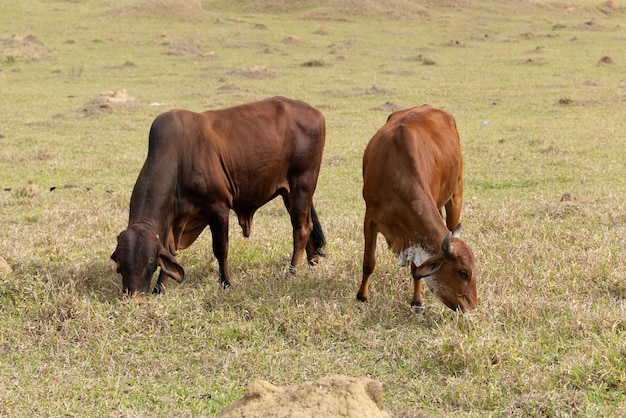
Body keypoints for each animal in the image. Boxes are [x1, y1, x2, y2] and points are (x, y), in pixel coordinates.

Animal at [111, 96, 324, 296]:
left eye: (149, 261)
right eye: (120, 265)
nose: (133, 296)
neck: (178, 159)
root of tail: (315, 112)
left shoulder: (218, 207)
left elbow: (221, 248)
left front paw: (225, 283)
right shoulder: (173, 221)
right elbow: (170, 252)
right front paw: (159, 288)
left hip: (302, 185)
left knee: (301, 229)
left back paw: (292, 271)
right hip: (290, 193)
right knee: (308, 226)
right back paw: (312, 264)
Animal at [354, 105, 476, 310]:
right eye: (463, 272)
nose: (471, 306)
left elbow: (417, 268)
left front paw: (417, 301)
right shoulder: (370, 217)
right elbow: (368, 262)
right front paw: (361, 296)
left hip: (456, 194)